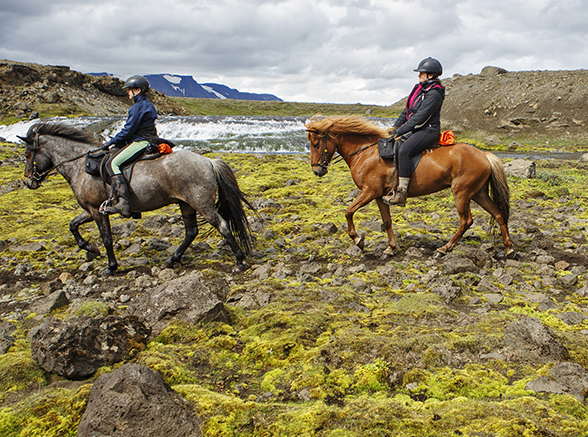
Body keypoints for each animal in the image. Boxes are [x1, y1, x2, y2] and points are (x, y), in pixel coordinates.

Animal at [17, 121, 253, 274]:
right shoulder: (91, 209)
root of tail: (208, 161)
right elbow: (73, 225)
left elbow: (107, 238)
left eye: (28, 154)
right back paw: (171, 260)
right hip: (185, 204)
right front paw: (90, 248)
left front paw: (111, 267)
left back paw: (239, 260)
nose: (28, 182)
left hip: (200, 203)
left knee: (222, 226)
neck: (80, 166)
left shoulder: (97, 210)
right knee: (191, 232)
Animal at [306, 116, 512, 258]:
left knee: (466, 221)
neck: (365, 152)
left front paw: (358, 240)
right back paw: (508, 248)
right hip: (478, 193)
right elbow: (387, 221)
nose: (317, 171)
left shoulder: (369, 191)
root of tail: (484, 155)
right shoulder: (379, 196)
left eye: (315, 144)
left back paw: (443, 249)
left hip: (461, 193)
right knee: (498, 214)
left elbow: (348, 211)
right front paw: (390, 248)